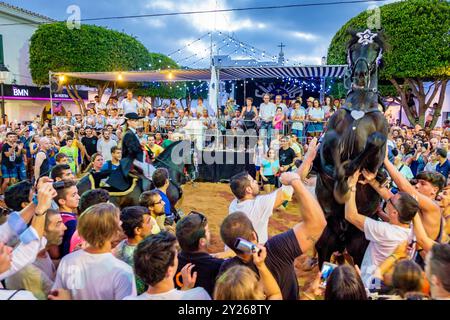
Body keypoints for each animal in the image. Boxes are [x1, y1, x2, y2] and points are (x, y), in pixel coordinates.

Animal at [312, 29, 390, 264]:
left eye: (375, 48)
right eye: (354, 48)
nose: (361, 75)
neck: (360, 108)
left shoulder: (374, 162)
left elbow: (376, 140)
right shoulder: (325, 151)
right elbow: (331, 152)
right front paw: (341, 181)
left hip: (359, 247)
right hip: (325, 242)